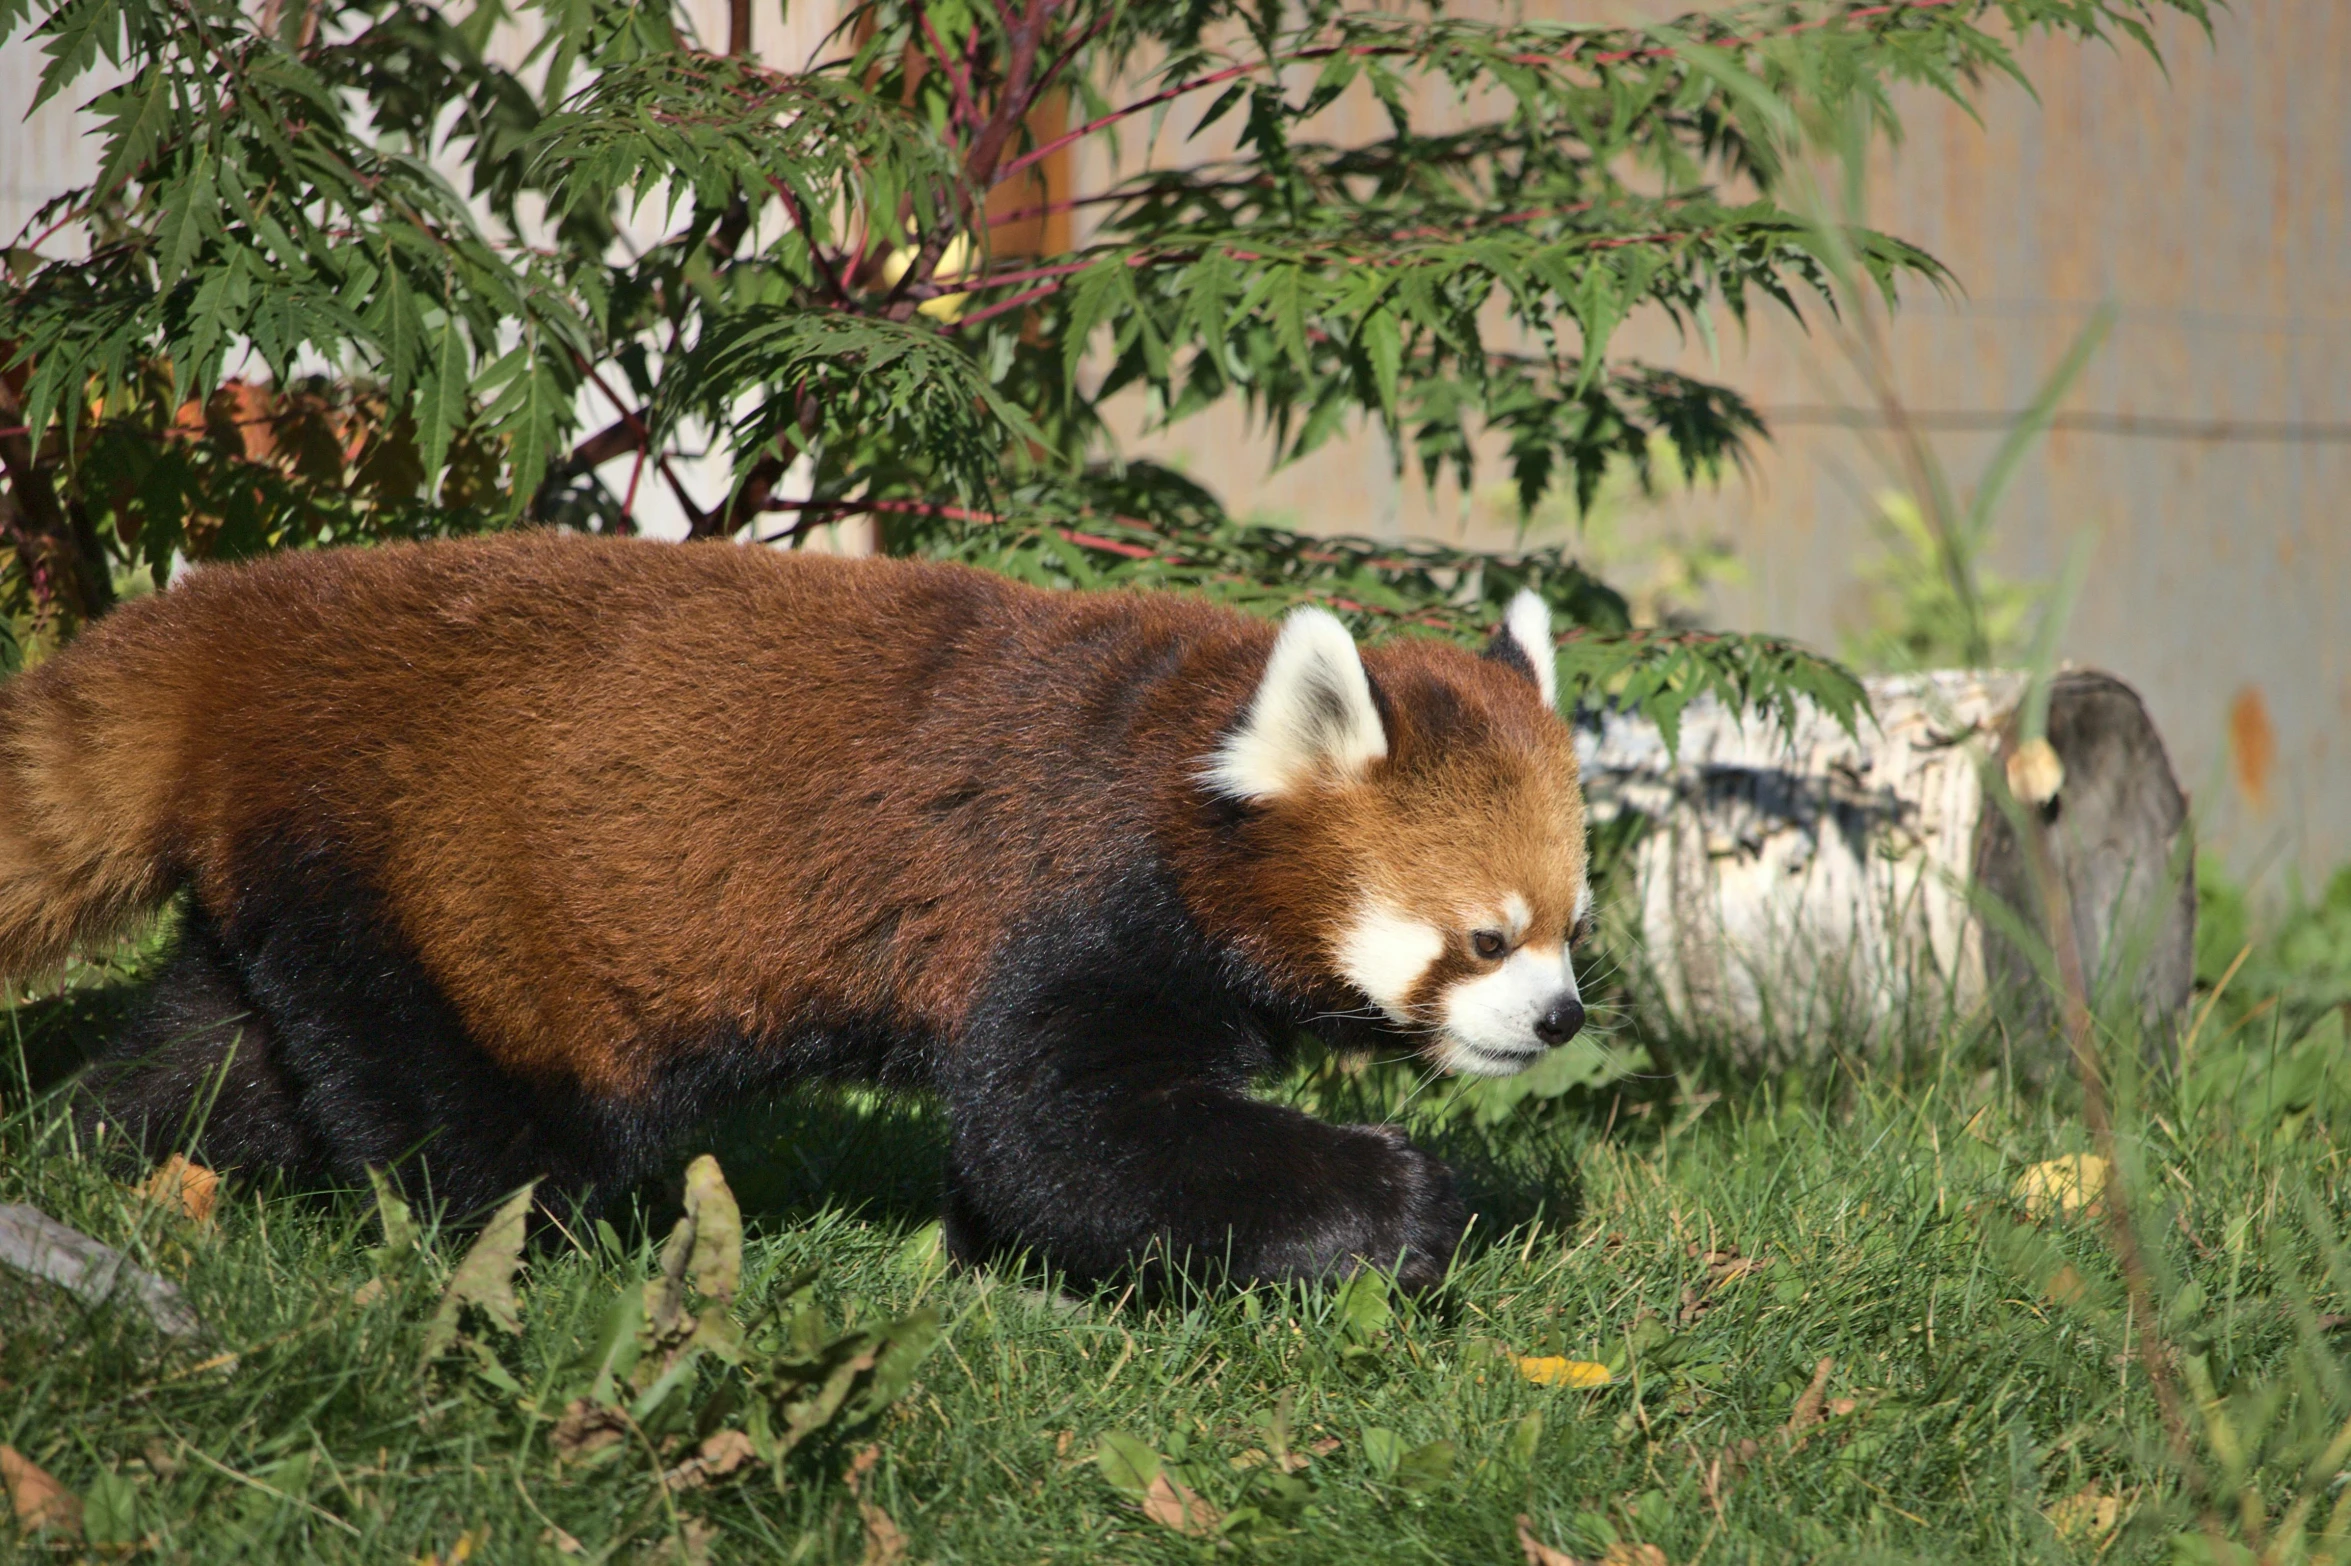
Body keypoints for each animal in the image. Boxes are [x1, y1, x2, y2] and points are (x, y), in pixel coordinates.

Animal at [9, 531, 1589, 1288]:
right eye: (1486, 937)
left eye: (1572, 925)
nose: (1560, 1019)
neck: (1177, 769)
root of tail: (239, 630)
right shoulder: (1069, 901)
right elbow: (1054, 1130)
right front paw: (1395, 1206)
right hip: (452, 897)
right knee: (474, 1115)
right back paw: (533, 1249)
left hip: (313, 877)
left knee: (223, 1052)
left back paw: (101, 1159)